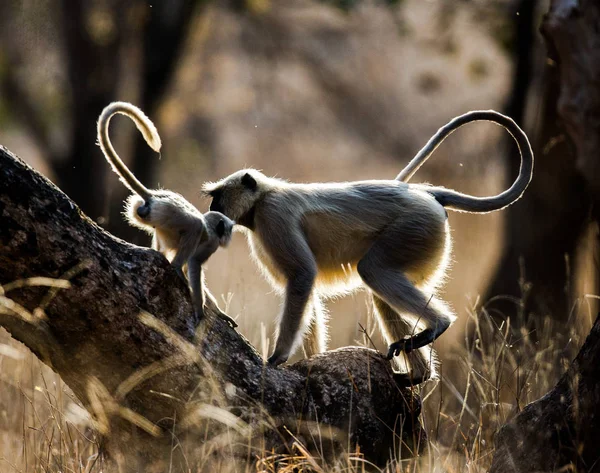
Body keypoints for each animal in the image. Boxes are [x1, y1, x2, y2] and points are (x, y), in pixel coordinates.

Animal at [96, 101, 237, 326]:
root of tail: (153, 197)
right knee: (195, 226)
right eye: (228, 231)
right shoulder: (212, 243)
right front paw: (200, 309)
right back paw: (176, 267)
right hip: (169, 214)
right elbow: (194, 265)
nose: (229, 237)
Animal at [204, 109, 532, 378]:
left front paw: (278, 357)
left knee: (372, 270)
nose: (213, 208)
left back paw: (438, 325)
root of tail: (425, 193)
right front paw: (314, 360)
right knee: (379, 285)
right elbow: (305, 289)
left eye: (218, 196)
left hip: (415, 228)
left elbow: (302, 277)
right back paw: (418, 373)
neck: (263, 196)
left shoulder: (274, 216)